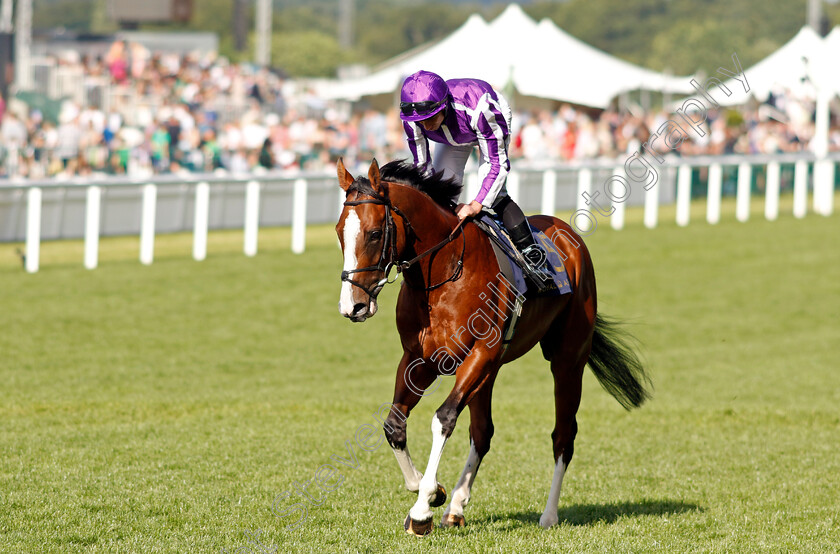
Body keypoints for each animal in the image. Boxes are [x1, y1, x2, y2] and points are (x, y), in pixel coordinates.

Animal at [334, 157, 648, 532]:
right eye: (339, 231)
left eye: (375, 233)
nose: (352, 306)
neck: (444, 274)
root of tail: (568, 235)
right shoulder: (418, 360)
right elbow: (394, 425)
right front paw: (433, 491)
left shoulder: (480, 353)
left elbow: (443, 419)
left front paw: (422, 508)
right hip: (491, 371)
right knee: (483, 431)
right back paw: (455, 506)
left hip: (567, 360)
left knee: (563, 435)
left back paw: (549, 515)